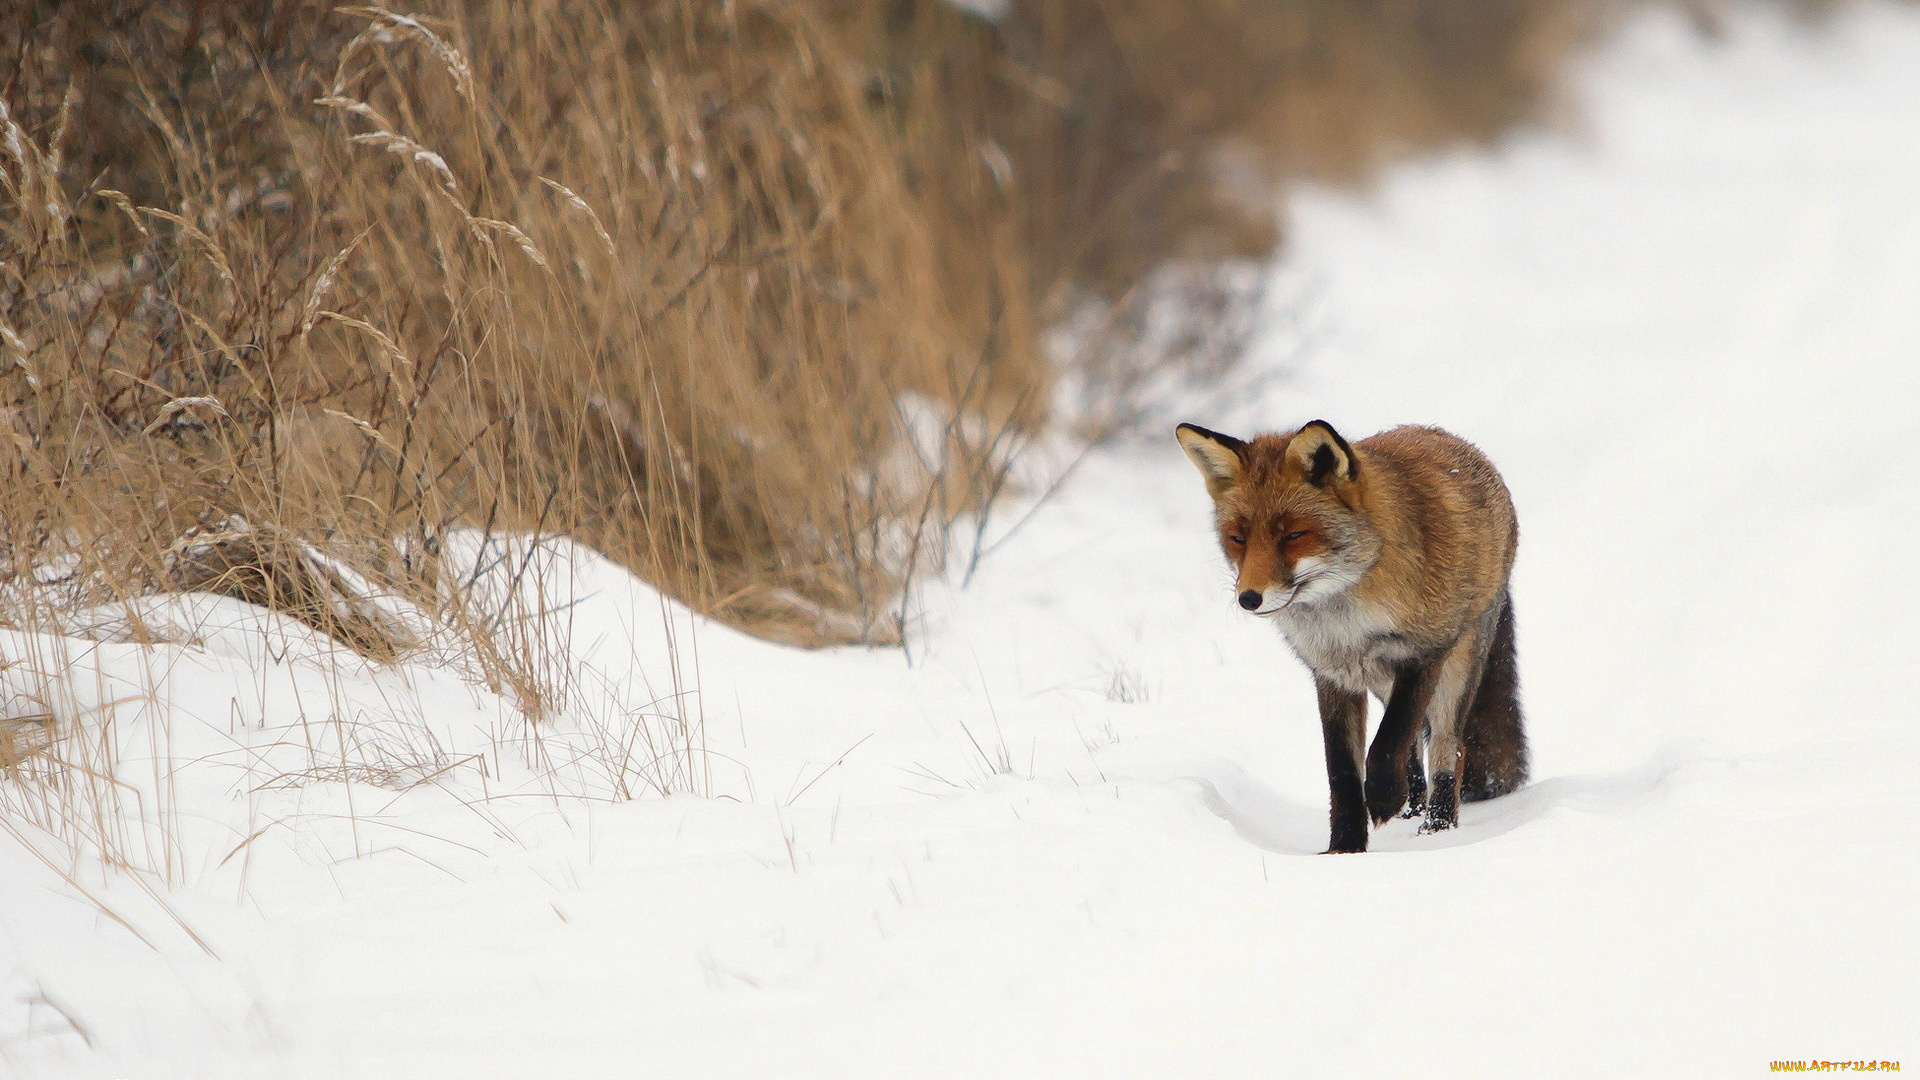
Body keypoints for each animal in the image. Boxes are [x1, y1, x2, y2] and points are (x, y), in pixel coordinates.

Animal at [1167, 418, 1528, 849]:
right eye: (1238, 538)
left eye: (1293, 535)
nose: (1248, 598)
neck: (1346, 623)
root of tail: (1449, 437)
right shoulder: (1332, 675)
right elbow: (1342, 770)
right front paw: (1345, 847)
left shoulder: (1424, 654)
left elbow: (1389, 741)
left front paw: (1385, 798)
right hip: (1381, 680)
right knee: (1414, 751)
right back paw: (1411, 809)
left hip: (1457, 668)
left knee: (1447, 750)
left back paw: (1435, 826)